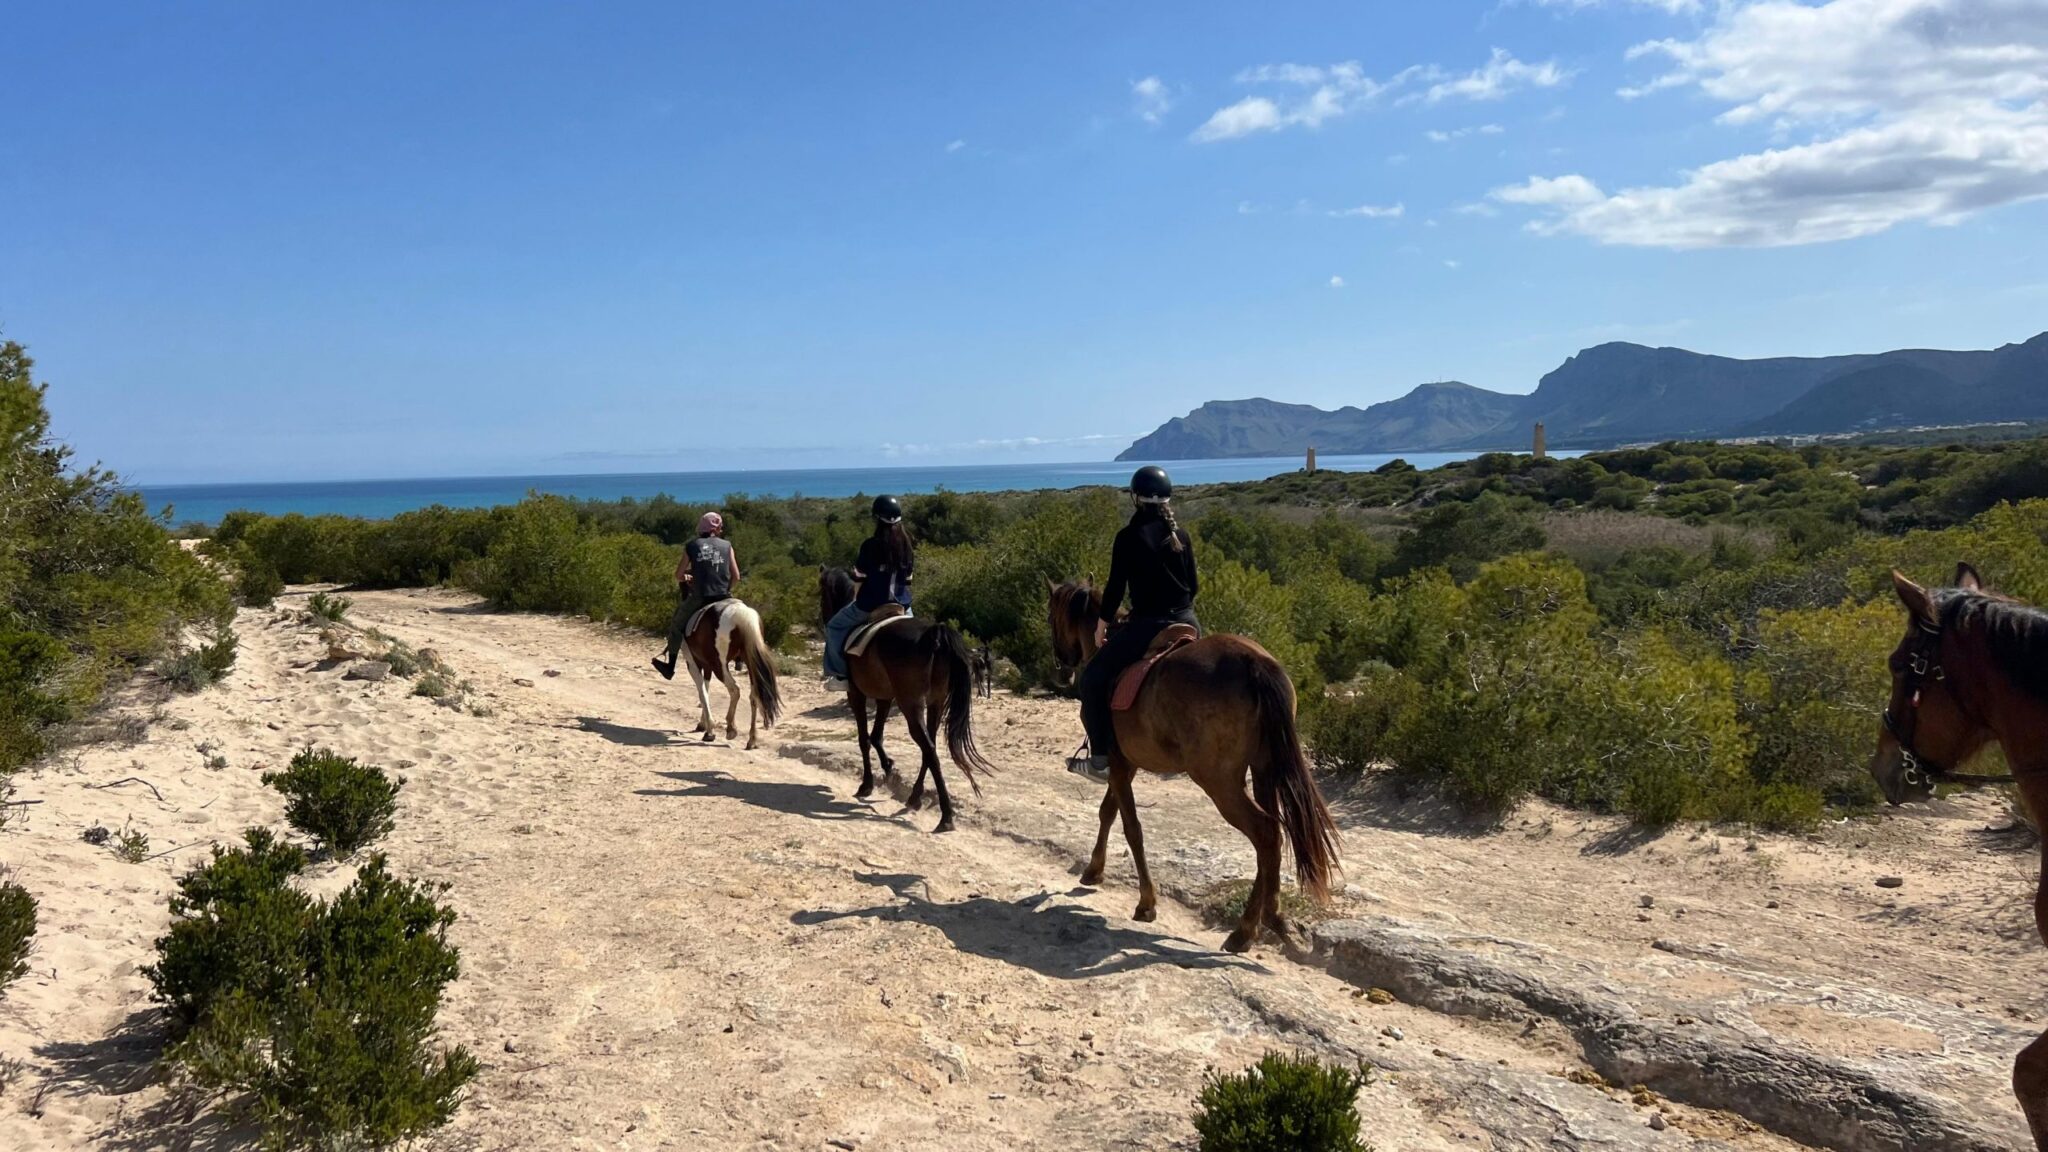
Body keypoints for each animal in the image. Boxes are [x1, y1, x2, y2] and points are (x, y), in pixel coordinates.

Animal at [680, 599, 783, 750]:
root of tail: (742, 615)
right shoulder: (707, 666)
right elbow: (706, 689)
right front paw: (702, 724)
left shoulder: (693, 664)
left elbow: (702, 693)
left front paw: (709, 730)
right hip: (750, 662)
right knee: (754, 695)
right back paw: (752, 739)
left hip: (720, 666)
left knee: (735, 690)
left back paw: (731, 729)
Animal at [841, 608, 994, 833]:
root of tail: (934, 633)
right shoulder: (885, 696)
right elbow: (876, 735)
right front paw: (887, 765)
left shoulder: (856, 694)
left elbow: (864, 739)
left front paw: (867, 784)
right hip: (935, 702)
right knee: (930, 747)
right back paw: (916, 797)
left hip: (910, 704)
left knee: (927, 747)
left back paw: (945, 816)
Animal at [1046, 580, 1341, 954]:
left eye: (1050, 616)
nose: (1062, 667)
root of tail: (1254, 662)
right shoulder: (1126, 765)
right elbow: (1108, 812)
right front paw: (1094, 870)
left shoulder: (1117, 763)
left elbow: (1131, 828)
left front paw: (1146, 903)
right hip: (1263, 770)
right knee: (1271, 836)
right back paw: (1250, 928)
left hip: (1219, 781)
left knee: (1264, 832)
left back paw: (1258, 924)